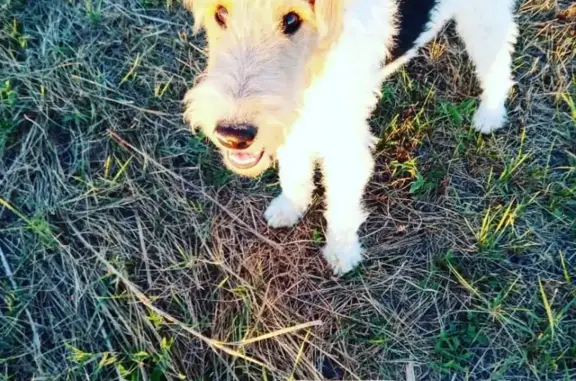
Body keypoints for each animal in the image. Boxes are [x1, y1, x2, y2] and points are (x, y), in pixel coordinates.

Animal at [183, 0, 516, 274]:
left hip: (485, 19)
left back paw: (490, 115)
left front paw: (342, 253)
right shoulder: (296, 116)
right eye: (220, 13)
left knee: (499, 63)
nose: (233, 135)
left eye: (292, 19)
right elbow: (294, 170)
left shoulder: (343, 144)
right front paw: (290, 207)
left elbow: (342, 205)